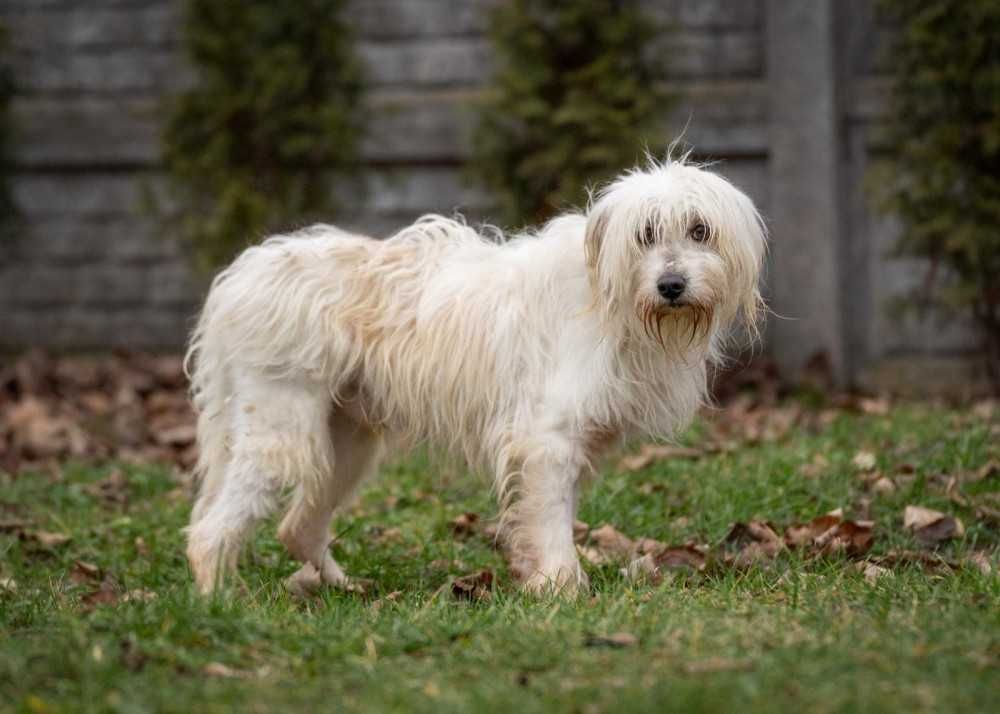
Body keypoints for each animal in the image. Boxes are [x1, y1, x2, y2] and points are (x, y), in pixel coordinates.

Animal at [186, 159, 764, 592]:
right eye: (646, 234)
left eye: (700, 231)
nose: (671, 285)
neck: (607, 297)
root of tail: (243, 274)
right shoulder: (546, 441)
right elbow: (552, 523)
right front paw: (561, 589)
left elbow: (542, 517)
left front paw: (537, 579)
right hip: (280, 437)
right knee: (209, 532)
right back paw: (221, 602)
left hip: (346, 445)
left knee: (296, 527)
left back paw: (337, 586)